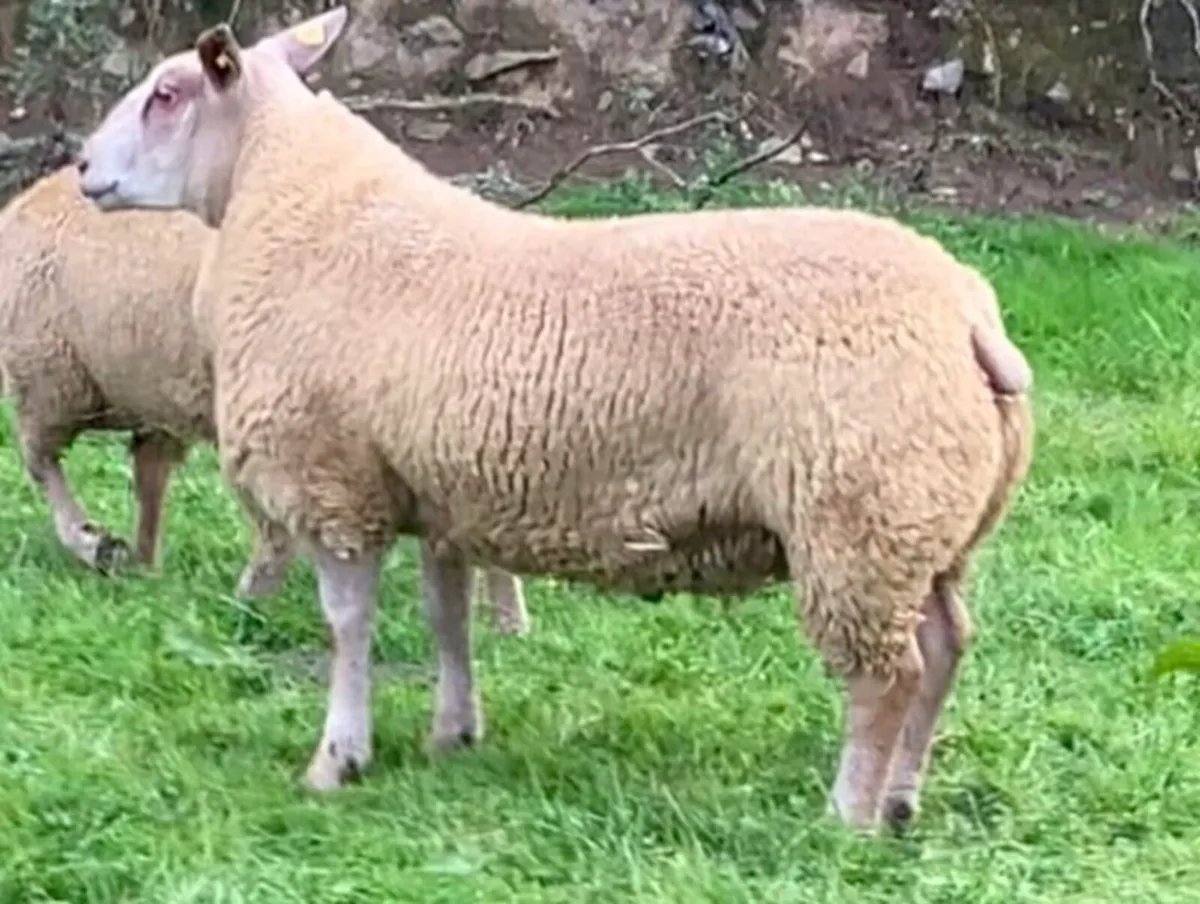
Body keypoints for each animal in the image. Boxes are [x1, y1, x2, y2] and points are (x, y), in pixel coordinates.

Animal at [74, 7, 1034, 833]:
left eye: (167, 95)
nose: (82, 168)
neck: (284, 201)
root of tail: (969, 316)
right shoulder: (438, 497)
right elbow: (446, 619)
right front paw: (453, 733)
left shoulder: (333, 483)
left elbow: (349, 628)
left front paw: (338, 757)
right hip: (924, 529)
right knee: (947, 648)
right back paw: (903, 801)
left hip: (856, 521)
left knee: (888, 676)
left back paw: (850, 816)